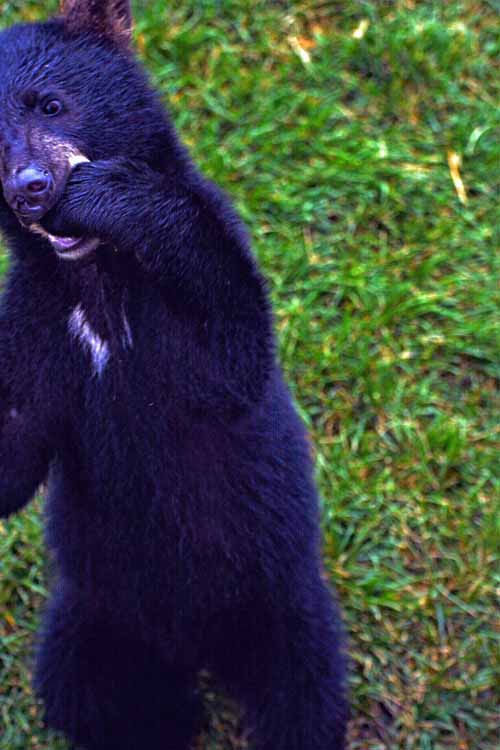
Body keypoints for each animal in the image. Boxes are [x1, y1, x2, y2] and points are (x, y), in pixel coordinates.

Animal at [0, 2, 349, 749]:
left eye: (52, 102)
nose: (31, 191)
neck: (97, 282)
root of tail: (196, 651)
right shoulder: (34, 326)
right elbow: (13, 450)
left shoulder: (194, 320)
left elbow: (228, 356)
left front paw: (107, 194)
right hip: (93, 615)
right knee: (99, 700)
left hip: (283, 601)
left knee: (301, 698)